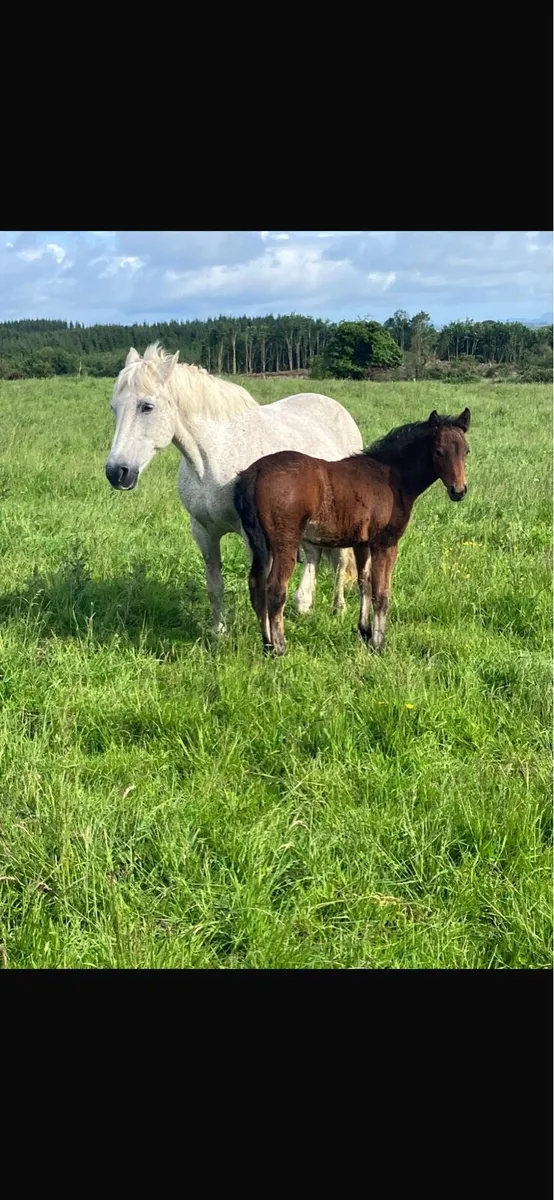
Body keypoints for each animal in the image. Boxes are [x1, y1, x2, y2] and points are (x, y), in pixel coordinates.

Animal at [105, 344, 362, 633]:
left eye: (146, 407)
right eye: (114, 408)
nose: (117, 472)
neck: (215, 456)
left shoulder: (256, 538)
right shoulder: (204, 531)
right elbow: (215, 585)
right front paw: (218, 632)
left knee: (340, 560)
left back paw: (338, 609)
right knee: (314, 553)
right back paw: (304, 604)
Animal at [235, 408, 471, 656]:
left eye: (466, 450)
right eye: (438, 451)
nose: (458, 491)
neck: (391, 476)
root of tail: (256, 471)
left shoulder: (362, 543)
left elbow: (364, 584)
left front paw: (365, 632)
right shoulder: (385, 543)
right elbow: (381, 592)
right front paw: (379, 644)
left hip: (260, 544)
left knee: (256, 586)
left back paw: (267, 644)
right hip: (285, 543)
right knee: (275, 588)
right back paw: (280, 648)